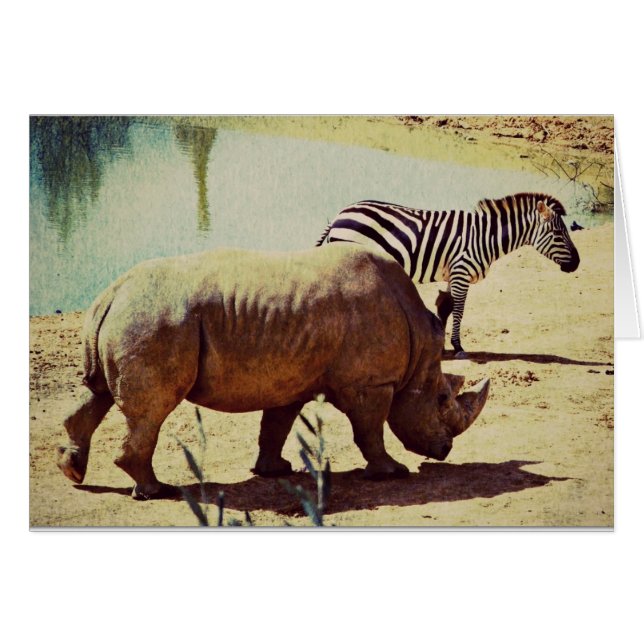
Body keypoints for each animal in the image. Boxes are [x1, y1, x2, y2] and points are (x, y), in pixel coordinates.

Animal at [58, 244, 490, 500]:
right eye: (443, 398)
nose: (445, 451)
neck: (419, 340)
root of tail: (112, 293)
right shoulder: (371, 383)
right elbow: (369, 430)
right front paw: (392, 473)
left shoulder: (291, 377)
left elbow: (276, 425)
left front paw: (274, 470)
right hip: (153, 322)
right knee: (150, 412)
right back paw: (156, 491)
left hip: (130, 319)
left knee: (97, 392)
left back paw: (73, 471)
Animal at [316, 192, 580, 357]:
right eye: (558, 233)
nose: (577, 263)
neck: (486, 237)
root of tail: (340, 214)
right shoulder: (462, 271)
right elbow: (459, 309)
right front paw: (457, 346)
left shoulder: (452, 274)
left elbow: (445, 307)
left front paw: (441, 346)